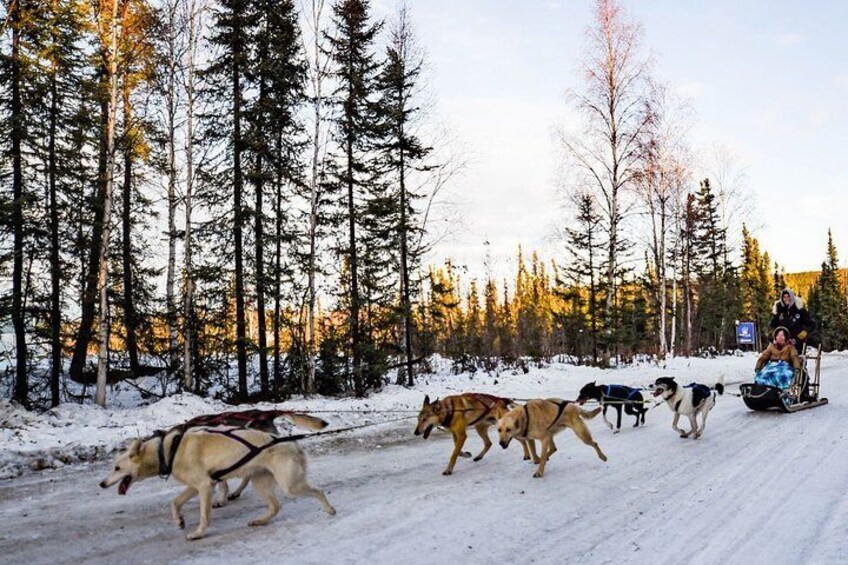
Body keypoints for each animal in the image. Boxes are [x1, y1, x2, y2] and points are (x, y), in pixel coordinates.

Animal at [100, 412, 334, 540]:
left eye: (117, 468)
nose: (101, 484)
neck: (166, 450)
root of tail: (292, 443)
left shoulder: (204, 486)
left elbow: (204, 515)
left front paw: (198, 533)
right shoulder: (196, 486)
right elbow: (174, 503)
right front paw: (179, 520)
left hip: (290, 485)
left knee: (318, 491)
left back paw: (330, 510)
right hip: (260, 483)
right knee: (276, 506)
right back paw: (259, 521)